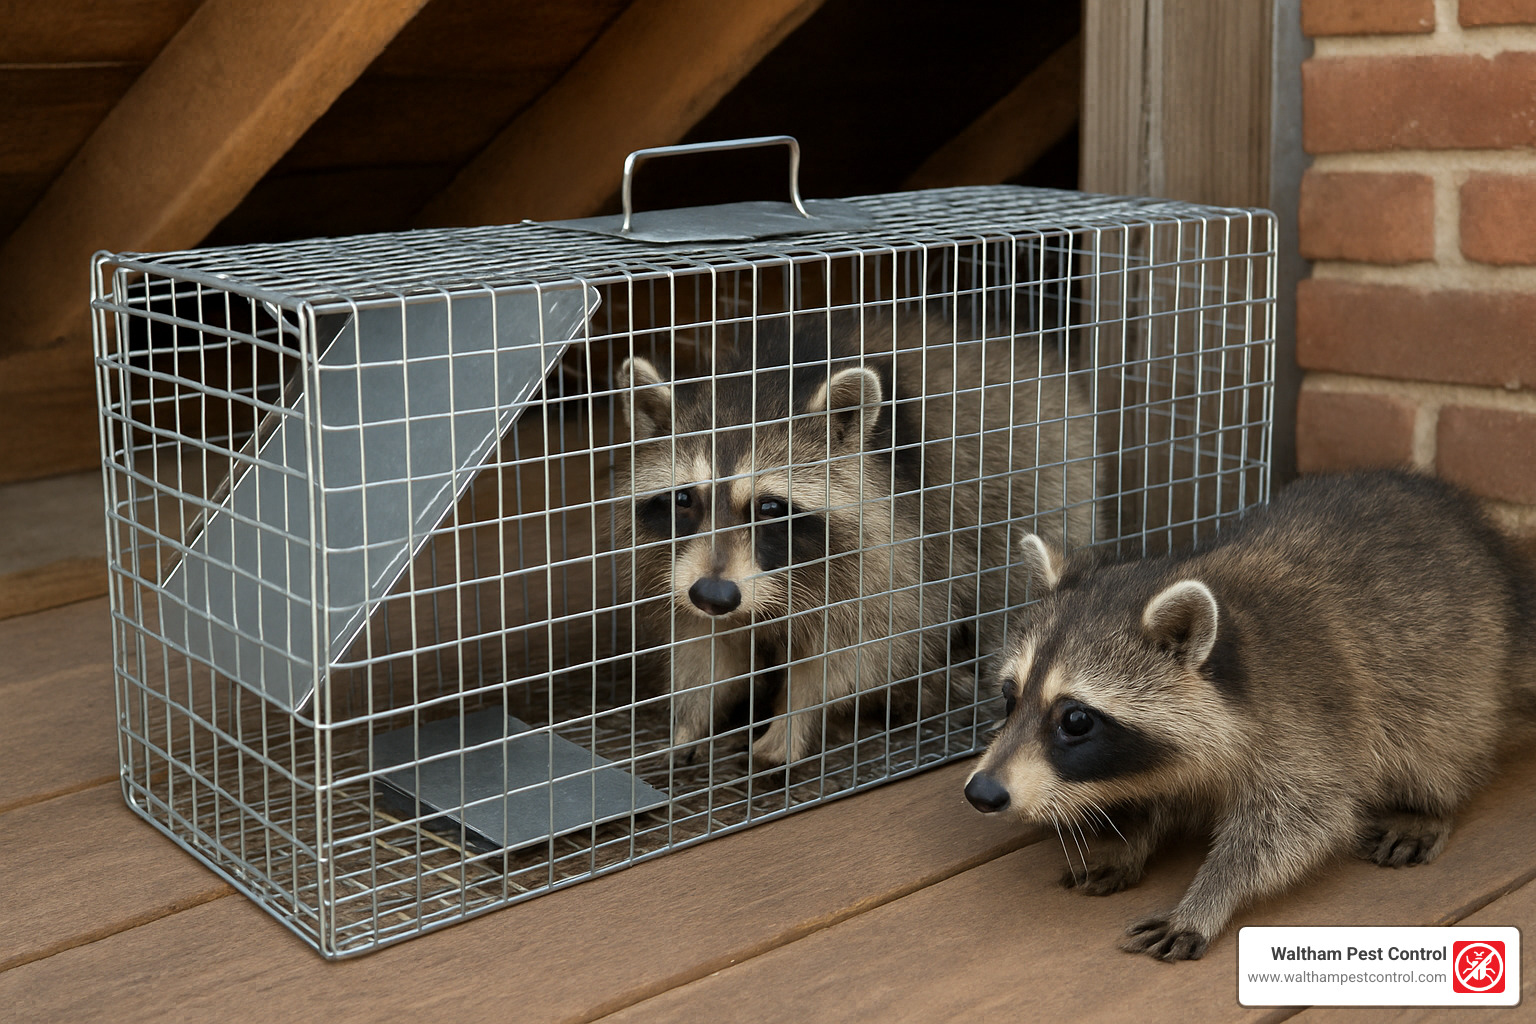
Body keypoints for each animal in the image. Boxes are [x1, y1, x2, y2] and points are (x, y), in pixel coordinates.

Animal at [613, 309, 1100, 766]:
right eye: (684, 499)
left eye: (768, 507)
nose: (714, 595)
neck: (769, 375)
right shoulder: (684, 570)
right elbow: (704, 642)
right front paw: (691, 719)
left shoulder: (888, 547)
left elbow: (858, 649)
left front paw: (794, 717)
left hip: (1041, 488)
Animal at [964, 469, 1536, 961]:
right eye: (1010, 697)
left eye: (1076, 720)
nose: (982, 792)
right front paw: (1129, 837)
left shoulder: (1307, 720)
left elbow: (1297, 823)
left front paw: (1210, 895)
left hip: (1459, 672)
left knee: (1435, 734)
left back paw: (1428, 803)